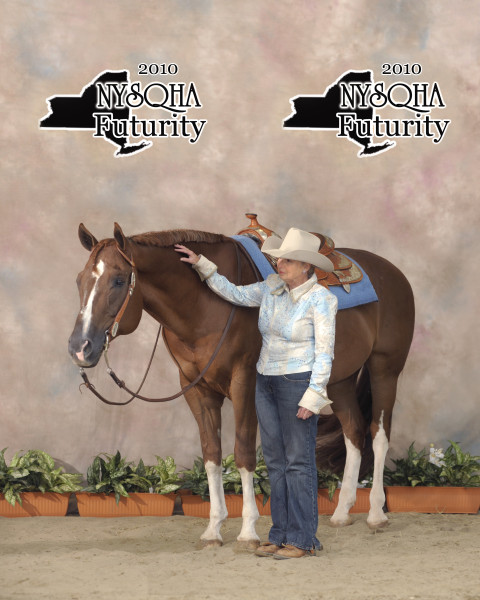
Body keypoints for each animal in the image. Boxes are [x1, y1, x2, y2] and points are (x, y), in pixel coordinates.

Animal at [68, 223, 414, 546]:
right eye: (79, 280)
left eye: (118, 280)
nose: (80, 347)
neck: (203, 305)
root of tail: (393, 272)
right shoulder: (196, 388)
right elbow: (212, 454)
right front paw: (213, 528)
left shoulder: (244, 382)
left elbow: (244, 453)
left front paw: (248, 531)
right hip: (337, 380)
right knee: (353, 432)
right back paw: (342, 513)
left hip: (385, 370)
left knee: (379, 434)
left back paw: (375, 514)